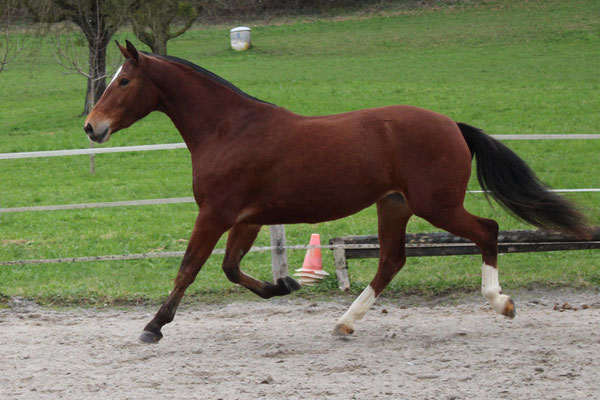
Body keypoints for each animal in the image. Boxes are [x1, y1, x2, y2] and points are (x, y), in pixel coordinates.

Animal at [84, 41, 592, 344]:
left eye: (124, 81)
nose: (92, 127)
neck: (230, 130)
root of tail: (452, 125)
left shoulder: (216, 213)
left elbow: (189, 268)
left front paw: (153, 326)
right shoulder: (246, 217)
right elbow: (230, 269)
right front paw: (284, 285)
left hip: (438, 205)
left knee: (487, 230)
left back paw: (501, 302)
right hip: (395, 206)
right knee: (391, 261)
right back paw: (345, 321)